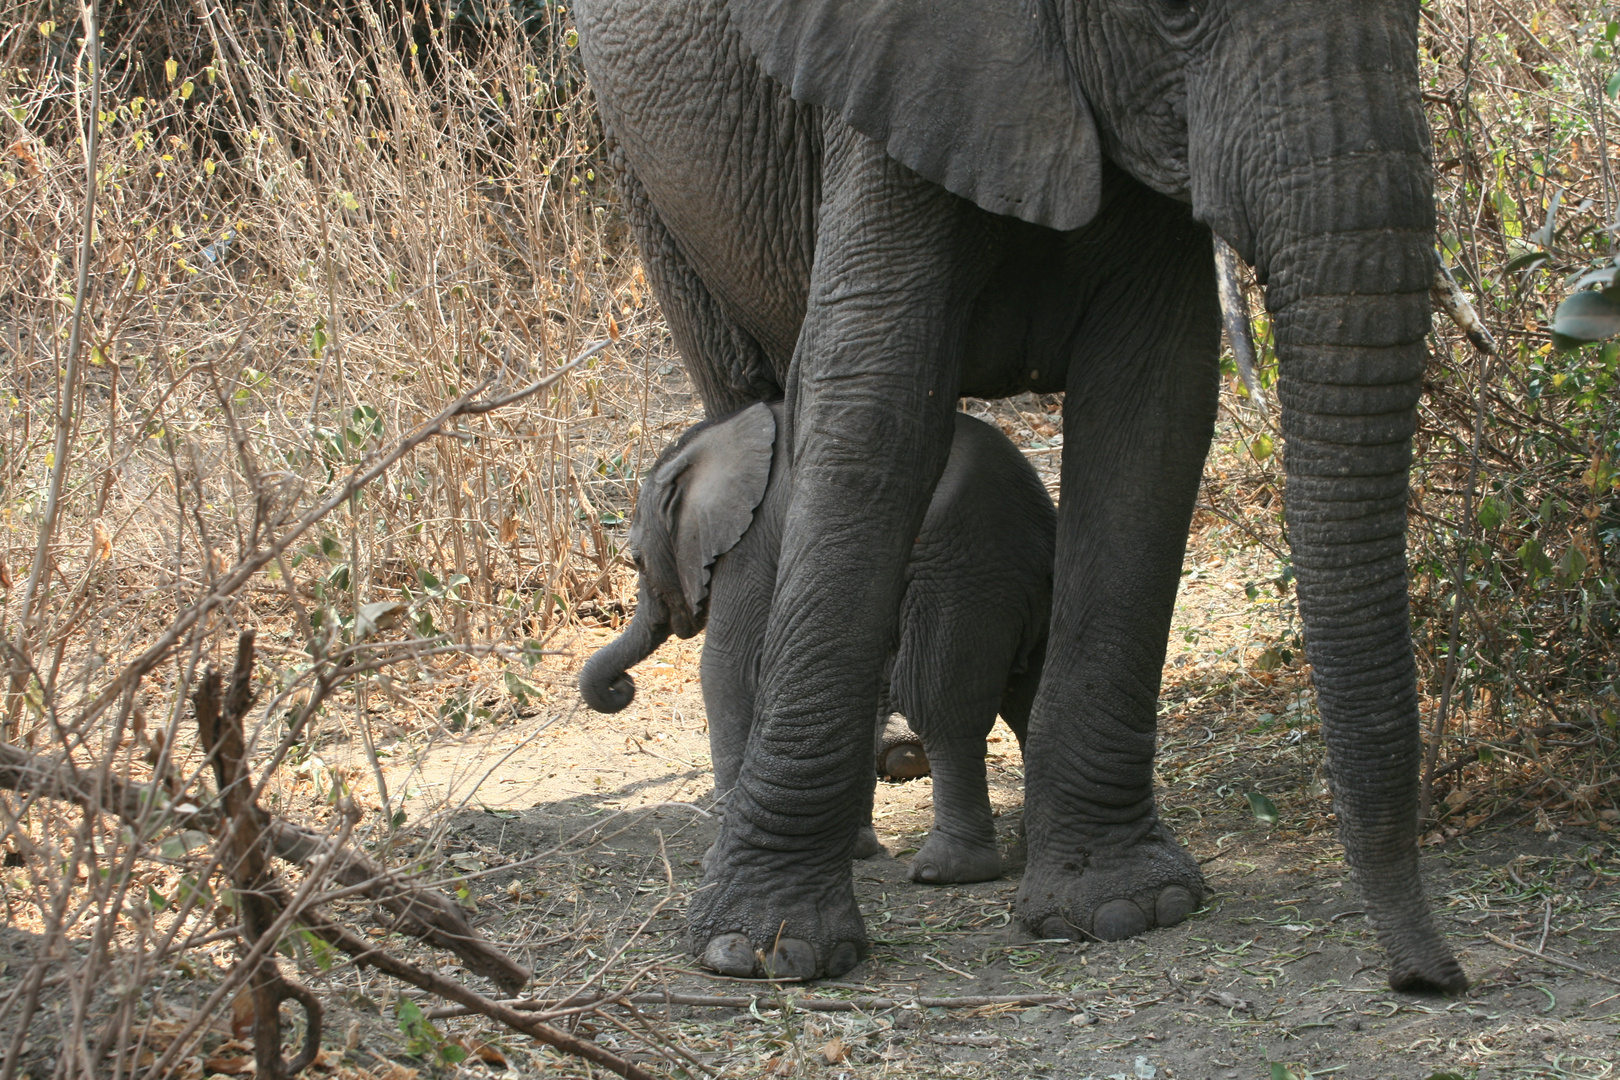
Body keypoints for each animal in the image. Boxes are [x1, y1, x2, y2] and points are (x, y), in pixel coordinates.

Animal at [576, 401, 1056, 880]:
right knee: (1032, 700)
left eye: (636, 559)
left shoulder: (751, 543)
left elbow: (727, 666)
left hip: (962, 575)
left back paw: (944, 871)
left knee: (940, 707)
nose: (621, 687)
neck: (711, 440)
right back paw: (1028, 851)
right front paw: (855, 850)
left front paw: (715, 864)